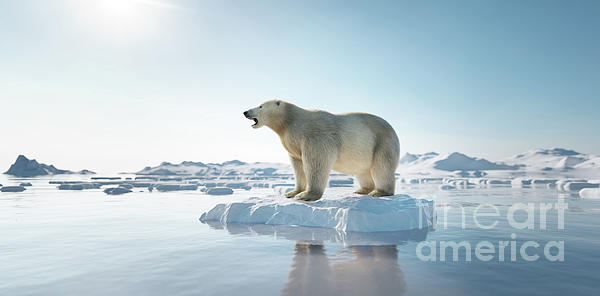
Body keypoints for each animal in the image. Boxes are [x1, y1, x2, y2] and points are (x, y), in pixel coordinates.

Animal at [244, 99, 398, 201]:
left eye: (260, 106)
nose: (245, 112)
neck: (291, 121)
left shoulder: (315, 135)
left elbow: (316, 162)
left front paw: (306, 195)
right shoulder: (292, 142)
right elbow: (297, 165)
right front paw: (292, 192)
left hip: (382, 143)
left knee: (382, 167)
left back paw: (379, 192)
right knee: (362, 170)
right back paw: (361, 190)